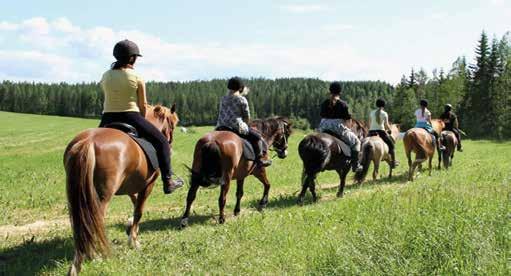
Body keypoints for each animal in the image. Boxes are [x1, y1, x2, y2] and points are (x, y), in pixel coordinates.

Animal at [64, 104, 180, 274]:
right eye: (173, 123)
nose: (170, 141)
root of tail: (88, 142)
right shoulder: (148, 184)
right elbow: (139, 210)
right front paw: (134, 241)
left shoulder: (131, 184)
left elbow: (134, 203)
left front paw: (130, 227)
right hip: (101, 196)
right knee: (93, 220)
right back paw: (90, 257)